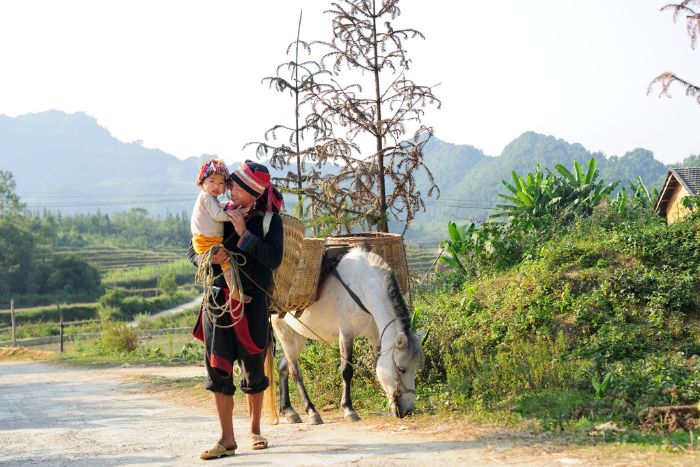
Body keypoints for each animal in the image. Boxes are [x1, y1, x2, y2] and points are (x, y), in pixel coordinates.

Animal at [270, 249, 424, 424]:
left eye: (416, 367)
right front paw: (349, 409)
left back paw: (289, 410)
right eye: (401, 369)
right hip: (283, 332)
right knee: (295, 372)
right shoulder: (346, 335)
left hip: (298, 336)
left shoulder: (374, 335)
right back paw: (311, 411)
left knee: (283, 367)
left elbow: (377, 365)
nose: (408, 409)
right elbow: (346, 371)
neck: (361, 287)